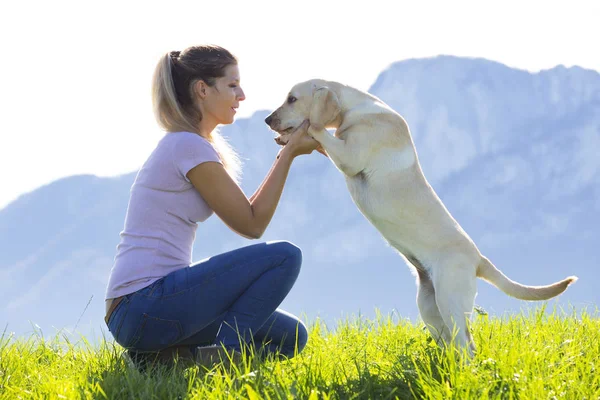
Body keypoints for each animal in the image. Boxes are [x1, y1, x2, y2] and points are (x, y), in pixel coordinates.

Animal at [266, 79, 576, 354]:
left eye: (292, 99)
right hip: (430, 307)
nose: (268, 120)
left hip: (451, 301)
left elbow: (316, 129)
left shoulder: (349, 156)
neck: (356, 109)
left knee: (467, 346)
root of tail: (478, 258)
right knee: (452, 345)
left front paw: (299, 132)